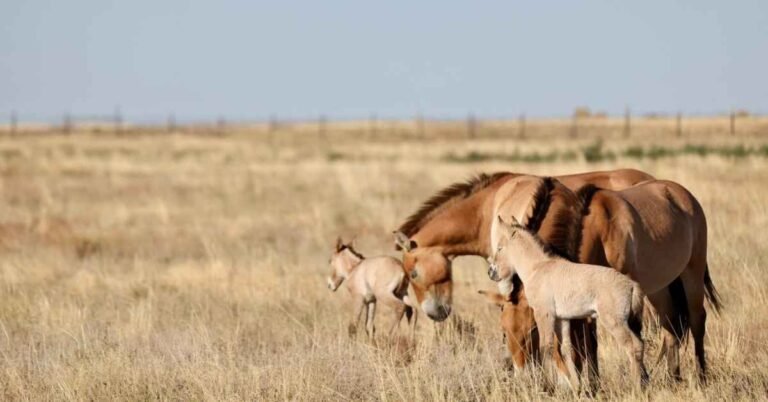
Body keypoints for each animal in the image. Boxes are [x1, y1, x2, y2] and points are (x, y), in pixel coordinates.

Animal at [489, 215, 648, 391]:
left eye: (500, 248)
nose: (491, 272)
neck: (537, 268)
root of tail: (632, 285)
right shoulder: (562, 318)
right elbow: (565, 349)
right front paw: (575, 387)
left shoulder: (544, 314)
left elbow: (546, 348)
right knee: (640, 345)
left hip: (614, 322)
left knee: (633, 346)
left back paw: (636, 388)